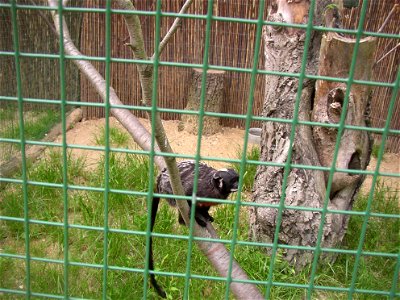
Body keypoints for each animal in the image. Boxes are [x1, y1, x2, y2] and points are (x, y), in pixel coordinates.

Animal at [148, 161, 239, 296]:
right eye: (233, 181)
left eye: (237, 179)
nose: (238, 185)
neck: (213, 187)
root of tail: (159, 180)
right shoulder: (198, 188)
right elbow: (188, 195)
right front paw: (197, 217)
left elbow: (205, 207)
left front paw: (206, 215)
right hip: (168, 188)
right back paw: (183, 221)